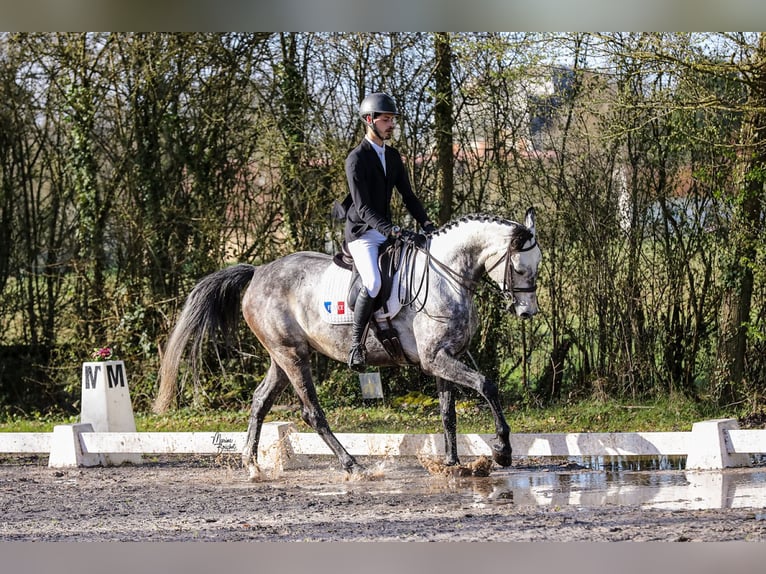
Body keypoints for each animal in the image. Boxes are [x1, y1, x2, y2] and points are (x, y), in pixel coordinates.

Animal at [153, 209, 544, 480]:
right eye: (520, 269)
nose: (527, 312)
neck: (445, 276)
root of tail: (258, 272)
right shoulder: (436, 359)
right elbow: (486, 385)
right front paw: (502, 450)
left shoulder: (442, 358)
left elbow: (448, 412)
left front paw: (451, 464)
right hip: (292, 356)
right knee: (312, 412)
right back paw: (352, 465)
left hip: (282, 356)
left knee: (260, 401)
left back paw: (252, 466)